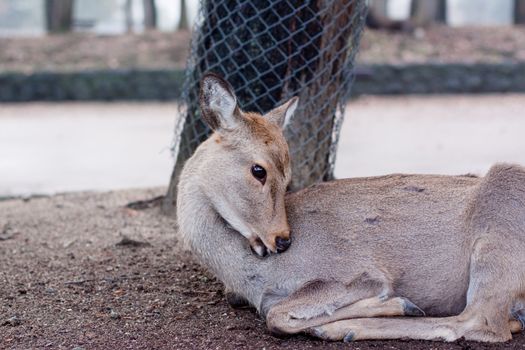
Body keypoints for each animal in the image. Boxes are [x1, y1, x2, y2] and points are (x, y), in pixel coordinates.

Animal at [175, 72, 524, 344]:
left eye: (287, 176)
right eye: (258, 170)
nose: (282, 240)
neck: (250, 277)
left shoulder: (354, 272)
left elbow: (277, 314)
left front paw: (396, 302)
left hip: (500, 225)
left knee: (481, 322)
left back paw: (344, 328)